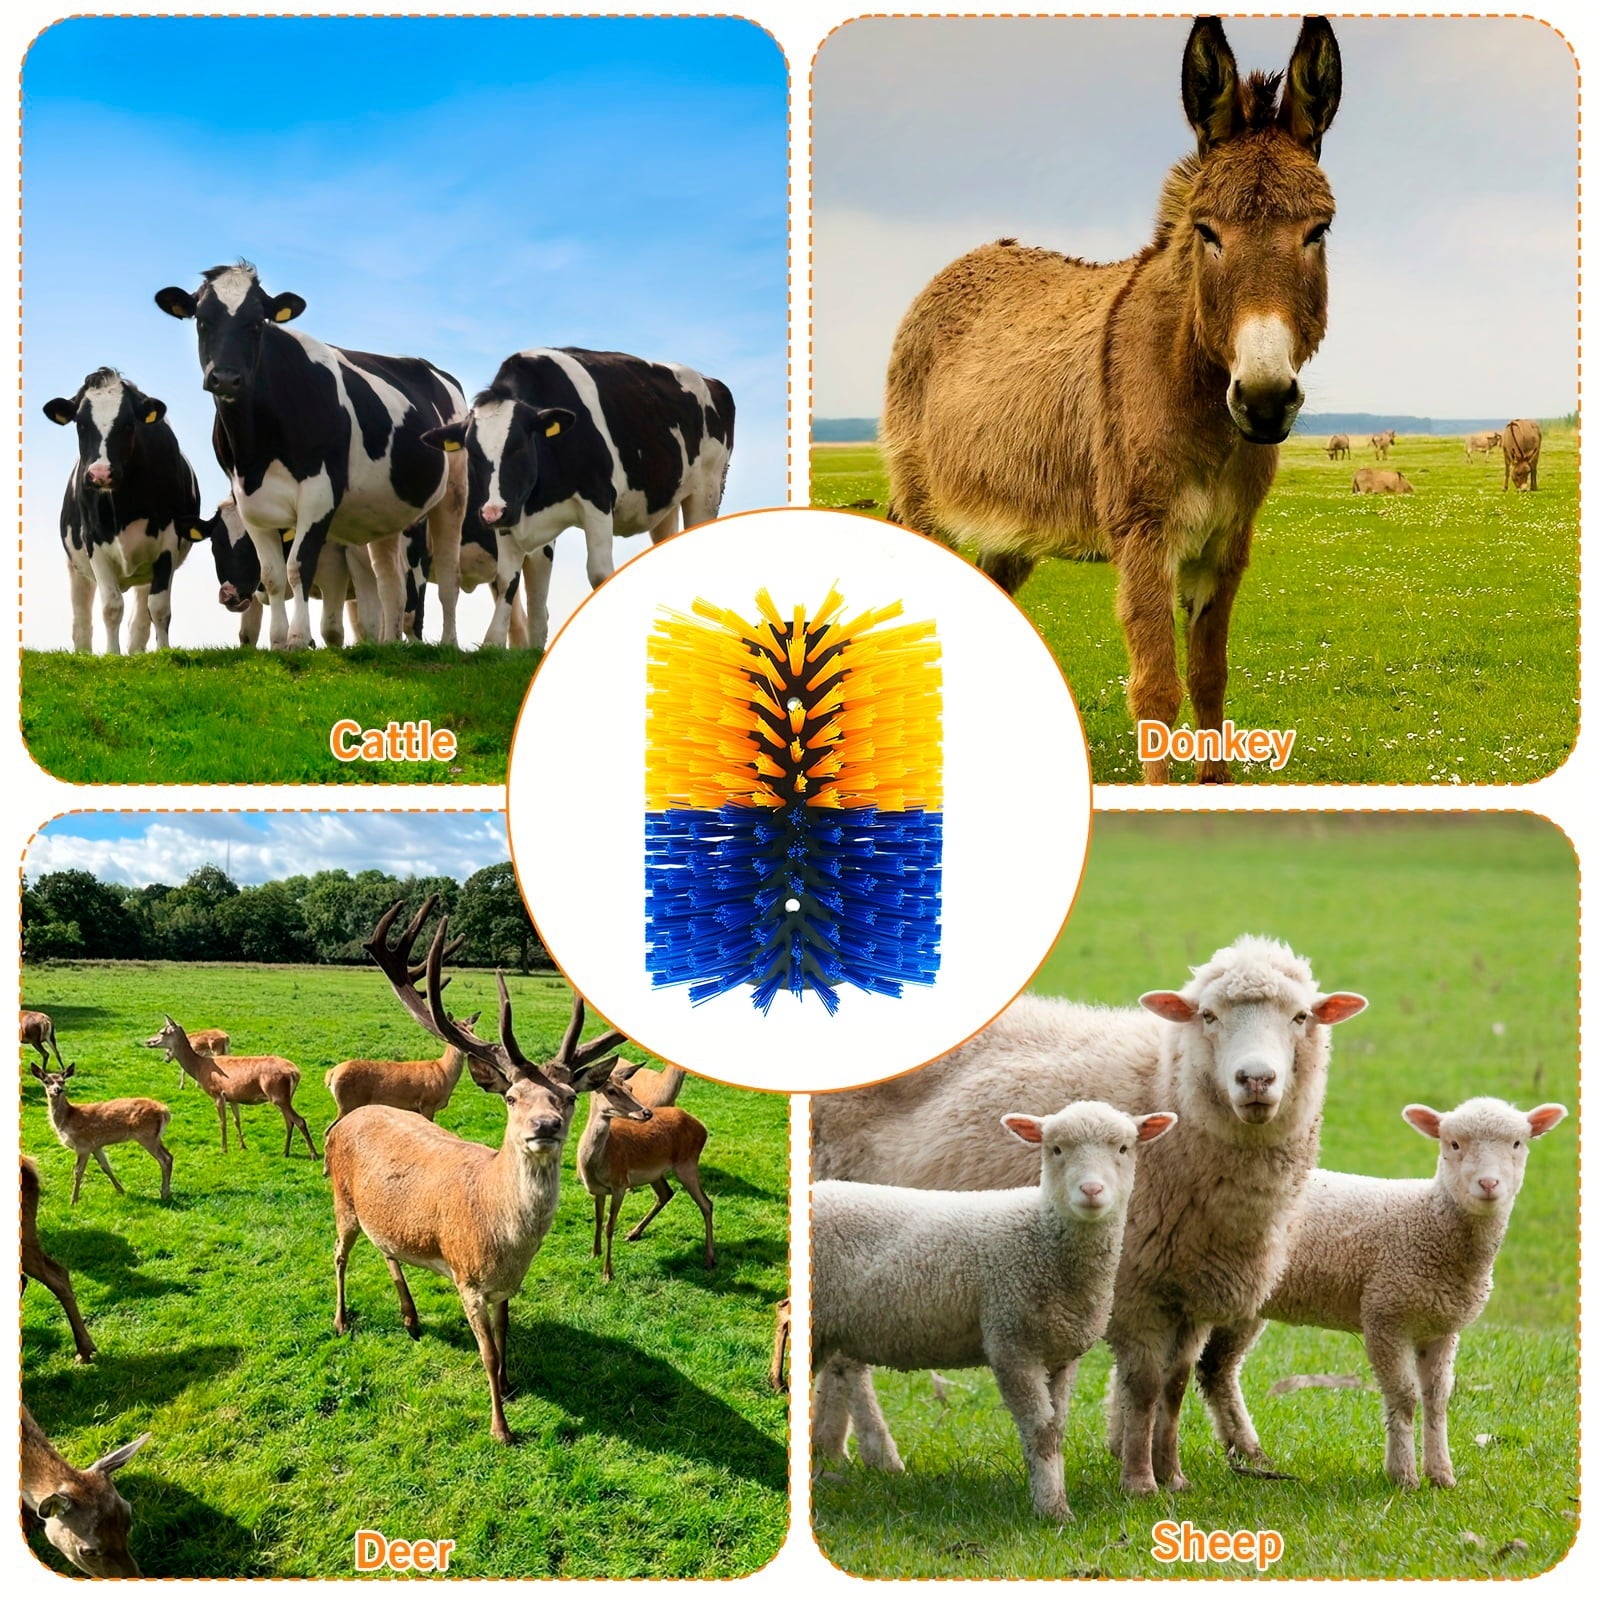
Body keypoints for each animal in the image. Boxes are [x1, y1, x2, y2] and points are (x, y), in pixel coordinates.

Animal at [43, 369, 201, 654]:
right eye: (80, 424)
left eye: (129, 424)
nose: (100, 474)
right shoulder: (93, 541)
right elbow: (111, 606)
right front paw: (111, 655)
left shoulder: (167, 542)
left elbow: (159, 609)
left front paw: (164, 653)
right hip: (76, 567)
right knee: (81, 619)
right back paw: (83, 652)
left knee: (141, 617)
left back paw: (137, 652)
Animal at [186, 497, 383, 648]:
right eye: (215, 542)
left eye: (252, 543)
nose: (230, 594)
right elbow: (248, 633)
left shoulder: (333, 567)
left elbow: (332, 630)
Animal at [421, 348, 734, 650]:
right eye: (472, 453)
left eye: (518, 445)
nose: (491, 513)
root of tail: (711, 381)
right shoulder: (512, 513)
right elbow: (511, 580)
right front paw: (499, 643)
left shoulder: (597, 499)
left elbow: (599, 573)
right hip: (664, 503)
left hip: (707, 489)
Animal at [813, 1102, 1177, 1520]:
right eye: (1056, 1149)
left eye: (1123, 1148)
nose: (1091, 1190)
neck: (1041, 1234)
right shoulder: (1011, 1342)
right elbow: (1040, 1430)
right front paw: (1052, 1510)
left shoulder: (1061, 1354)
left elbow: (1056, 1429)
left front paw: (1054, 1499)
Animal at [1195, 1097, 1569, 1489]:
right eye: (1453, 1144)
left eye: (1517, 1144)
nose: (1488, 1183)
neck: (1428, 1221)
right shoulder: (1385, 1315)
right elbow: (1403, 1397)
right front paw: (1403, 1476)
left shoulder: (1441, 1327)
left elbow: (1437, 1398)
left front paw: (1441, 1475)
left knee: (1217, 1370)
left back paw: (1248, 1451)